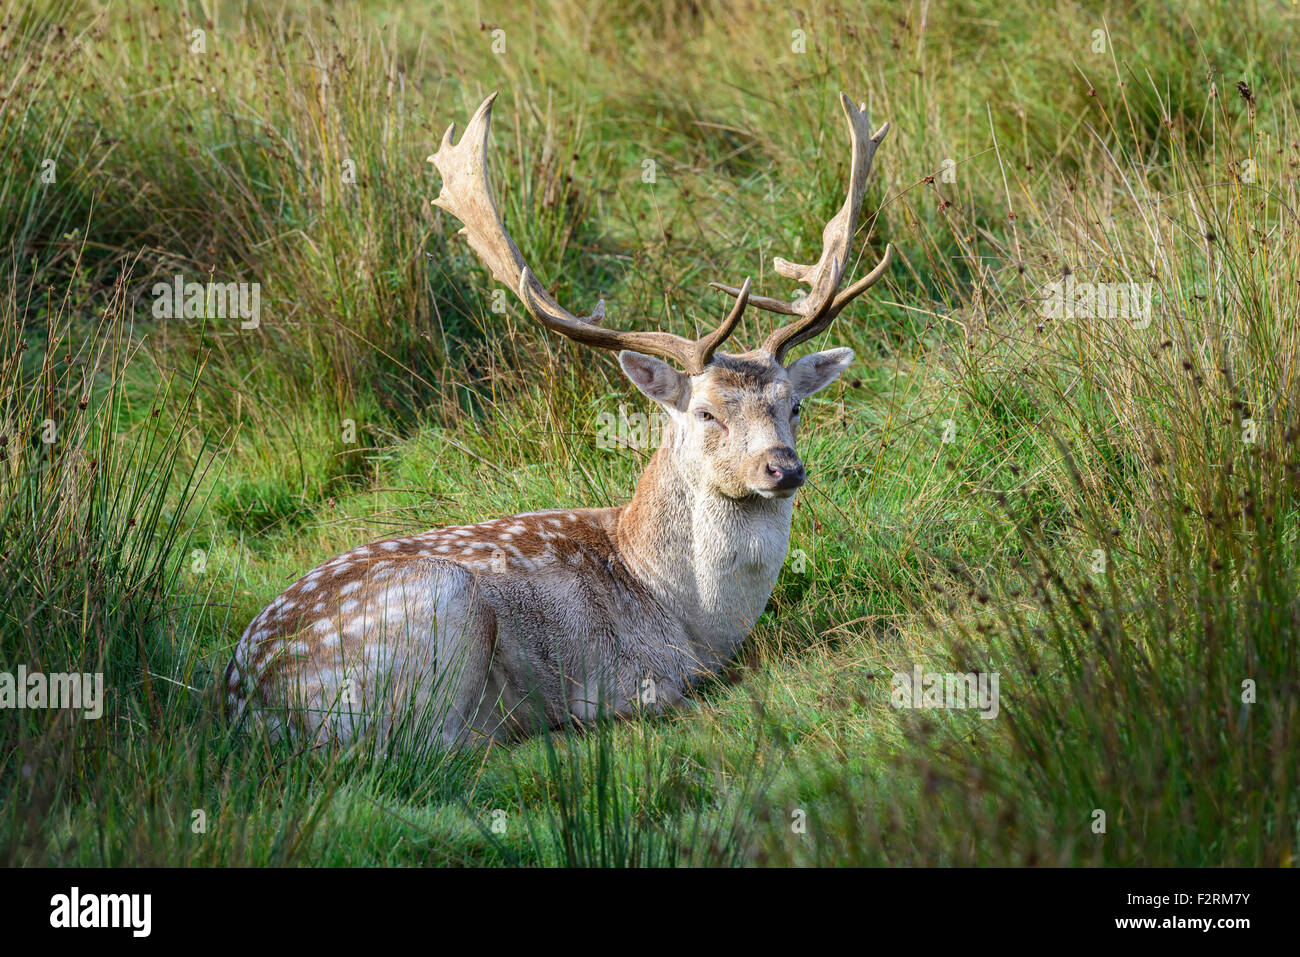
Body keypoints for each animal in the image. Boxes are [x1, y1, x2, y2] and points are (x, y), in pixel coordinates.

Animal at [223, 91, 893, 749]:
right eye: (706, 412)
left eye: (794, 405)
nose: (782, 468)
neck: (687, 616)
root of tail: (243, 703)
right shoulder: (625, 672)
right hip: (440, 607)